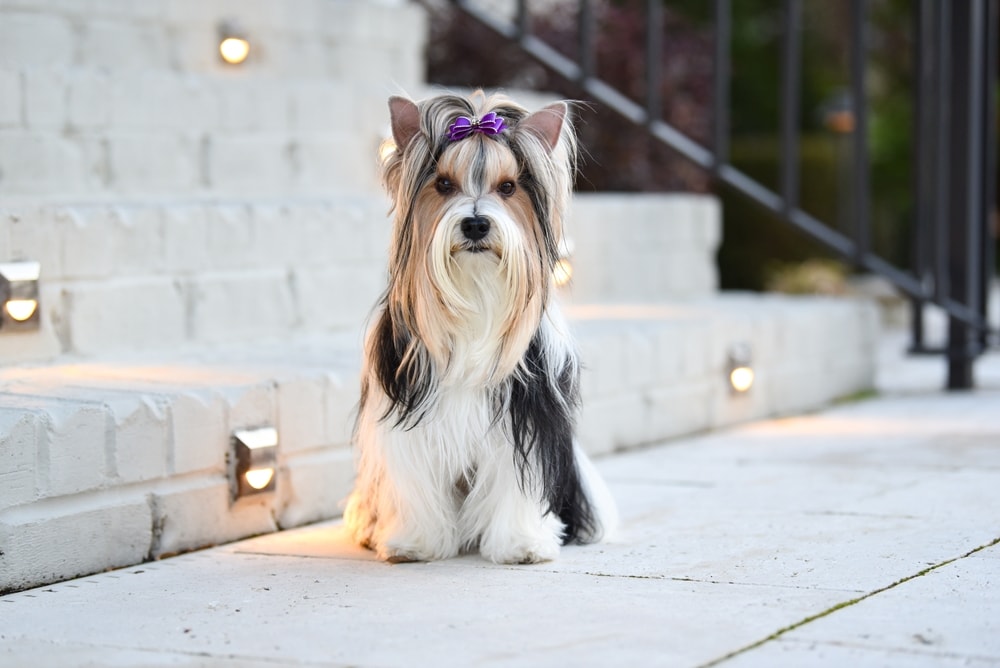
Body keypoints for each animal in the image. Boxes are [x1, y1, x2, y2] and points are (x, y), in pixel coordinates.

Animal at [342, 90, 616, 564]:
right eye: (443, 185)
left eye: (507, 187)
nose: (474, 223)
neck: (477, 294)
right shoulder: (411, 417)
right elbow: (416, 480)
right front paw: (416, 542)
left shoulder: (524, 420)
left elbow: (516, 481)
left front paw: (522, 544)